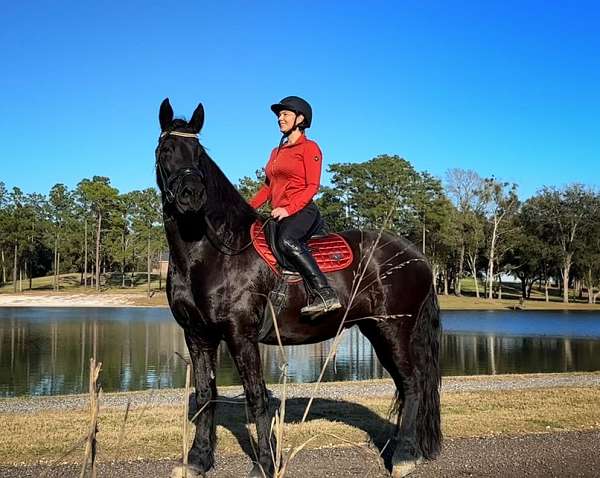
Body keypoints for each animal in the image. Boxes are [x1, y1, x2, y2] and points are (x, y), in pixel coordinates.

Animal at [155, 100, 440, 478]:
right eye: (166, 150)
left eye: (199, 154)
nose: (192, 196)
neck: (214, 252)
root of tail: (417, 255)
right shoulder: (198, 335)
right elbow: (205, 394)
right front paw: (198, 459)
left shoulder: (240, 335)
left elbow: (256, 397)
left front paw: (264, 463)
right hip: (377, 332)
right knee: (405, 385)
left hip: (394, 330)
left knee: (412, 382)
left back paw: (405, 455)